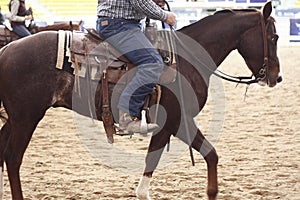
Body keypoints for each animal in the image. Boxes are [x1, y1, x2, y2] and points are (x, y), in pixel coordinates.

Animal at [0, 1, 282, 200]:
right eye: (274, 37)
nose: (276, 77)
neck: (187, 60)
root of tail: (6, 50)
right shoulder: (177, 121)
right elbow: (199, 158)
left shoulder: (171, 124)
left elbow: (172, 160)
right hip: (26, 118)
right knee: (13, 158)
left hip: (14, 118)